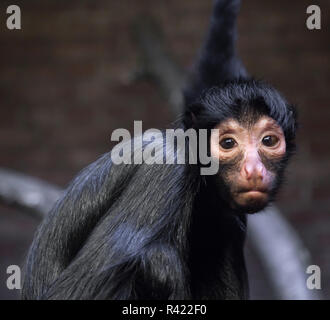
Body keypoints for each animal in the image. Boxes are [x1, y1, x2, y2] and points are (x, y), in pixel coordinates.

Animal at [22, 0, 296, 300]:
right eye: (227, 143)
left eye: (268, 141)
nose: (254, 170)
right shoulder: (168, 164)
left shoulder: (227, 215)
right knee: (159, 261)